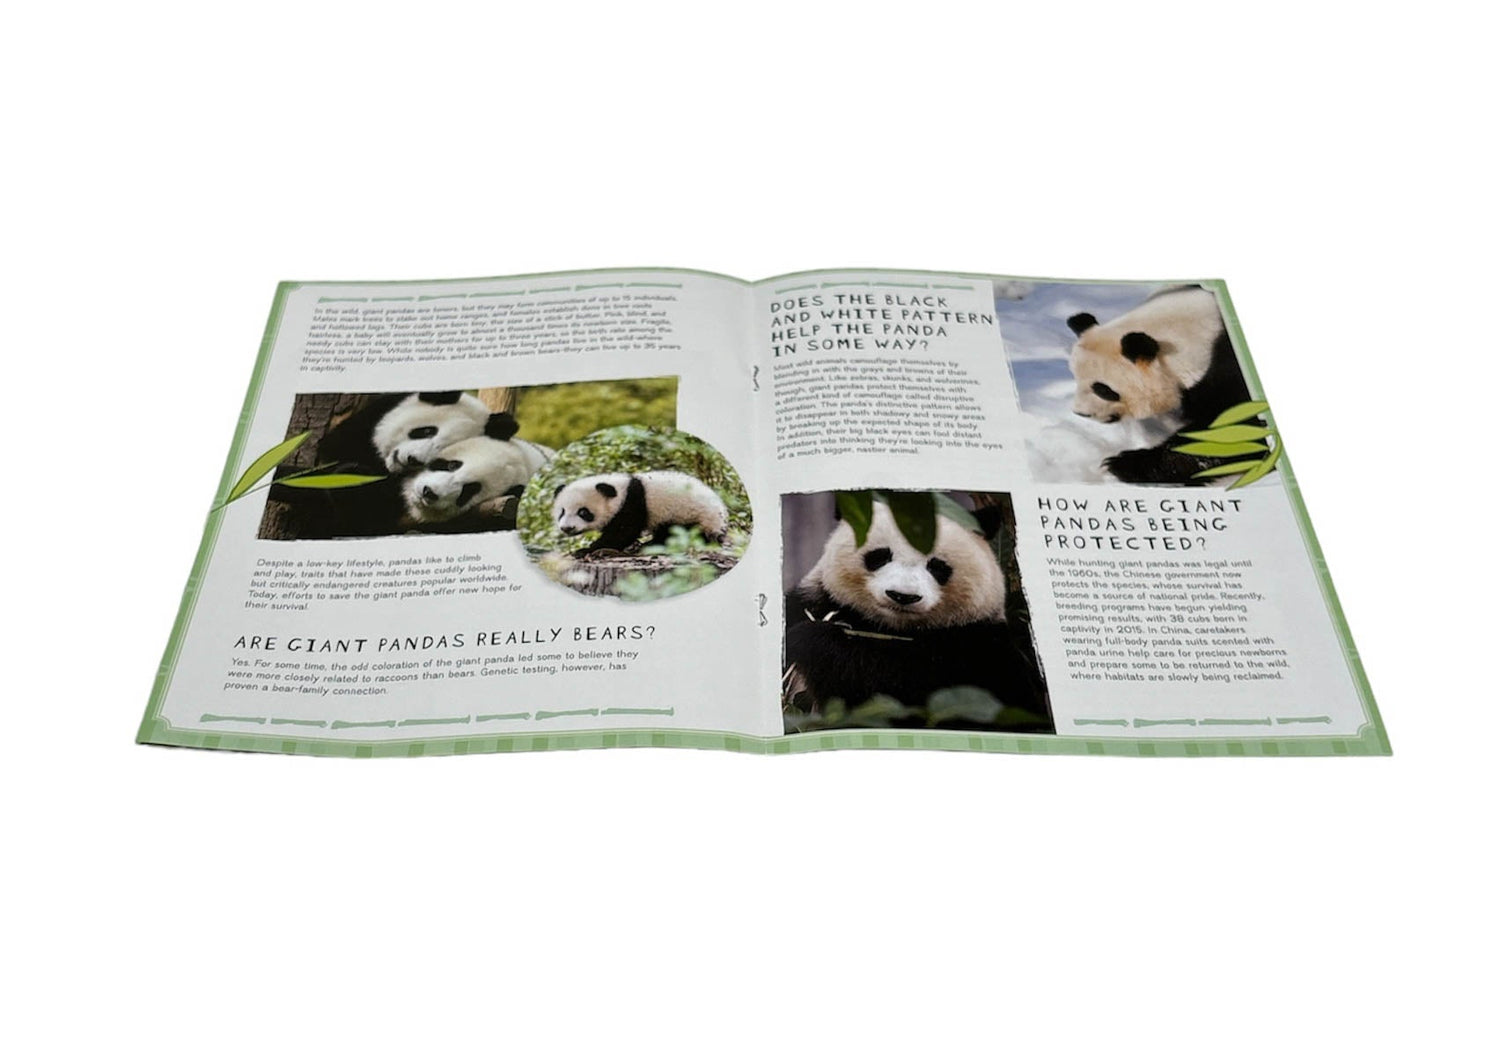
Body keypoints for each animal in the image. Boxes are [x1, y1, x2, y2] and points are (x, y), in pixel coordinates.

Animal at [551, 471, 730, 554]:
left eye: (583, 512)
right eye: (562, 512)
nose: (567, 528)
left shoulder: (633, 502)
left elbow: (623, 531)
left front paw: (586, 550)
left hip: (692, 515)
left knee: (677, 532)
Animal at [784, 500, 1050, 731]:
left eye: (938, 566)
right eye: (880, 556)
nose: (903, 596)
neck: (893, 629)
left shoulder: (982, 648)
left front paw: (811, 639)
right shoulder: (815, 601)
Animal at [1066, 284, 1253, 485]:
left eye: (1103, 389)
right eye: (1076, 378)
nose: (1081, 413)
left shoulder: (1226, 369)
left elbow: (1229, 431)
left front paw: (1123, 464)